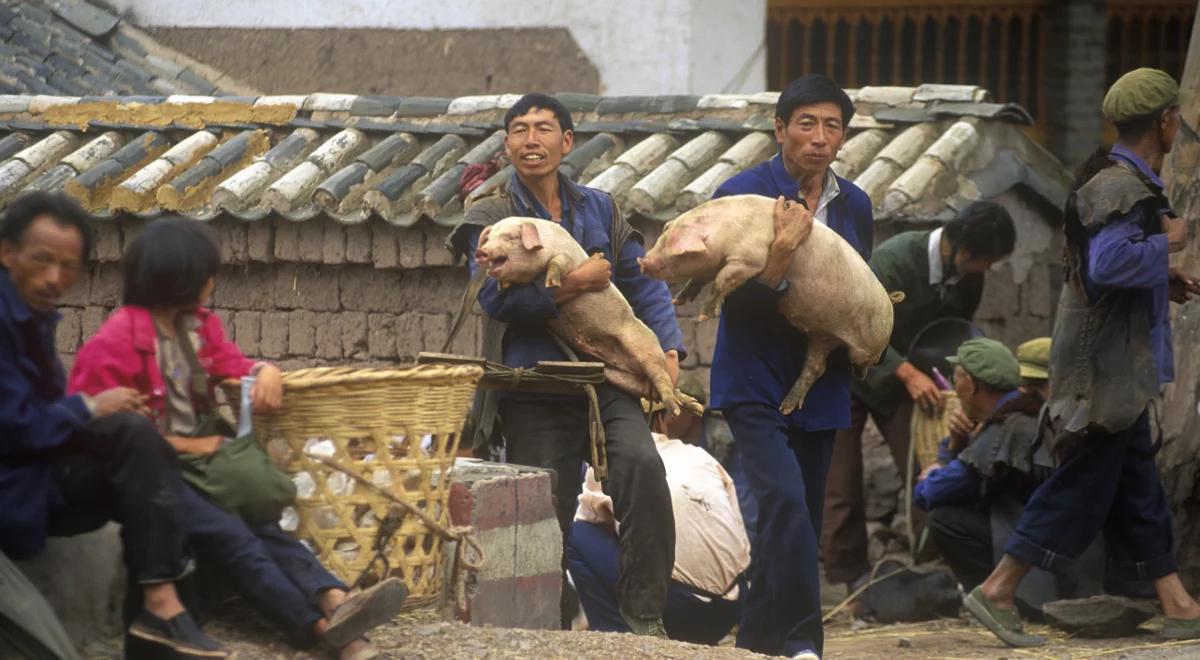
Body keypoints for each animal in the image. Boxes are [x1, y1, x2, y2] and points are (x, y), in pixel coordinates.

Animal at [475, 219, 700, 417]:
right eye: (489, 238)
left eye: (510, 237)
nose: (481, 251)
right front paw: (502, 286)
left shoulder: (567, 255)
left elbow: (557, 262)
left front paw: (551, 283)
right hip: (617, 377)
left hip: (646, 346)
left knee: (663, 378)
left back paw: (676, 409)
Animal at [643, 194, 897, 417]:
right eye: (662, 237)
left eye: (675, 251)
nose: (642, 260)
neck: (725, 231)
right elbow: (700, 278)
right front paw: (678, 300)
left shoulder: (749, 260)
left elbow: (722, 279)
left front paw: (704, 316)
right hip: (821, 337)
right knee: (816, 368)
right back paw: (785, 408)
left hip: (869, 343)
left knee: (861, 362)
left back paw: (857, 374)